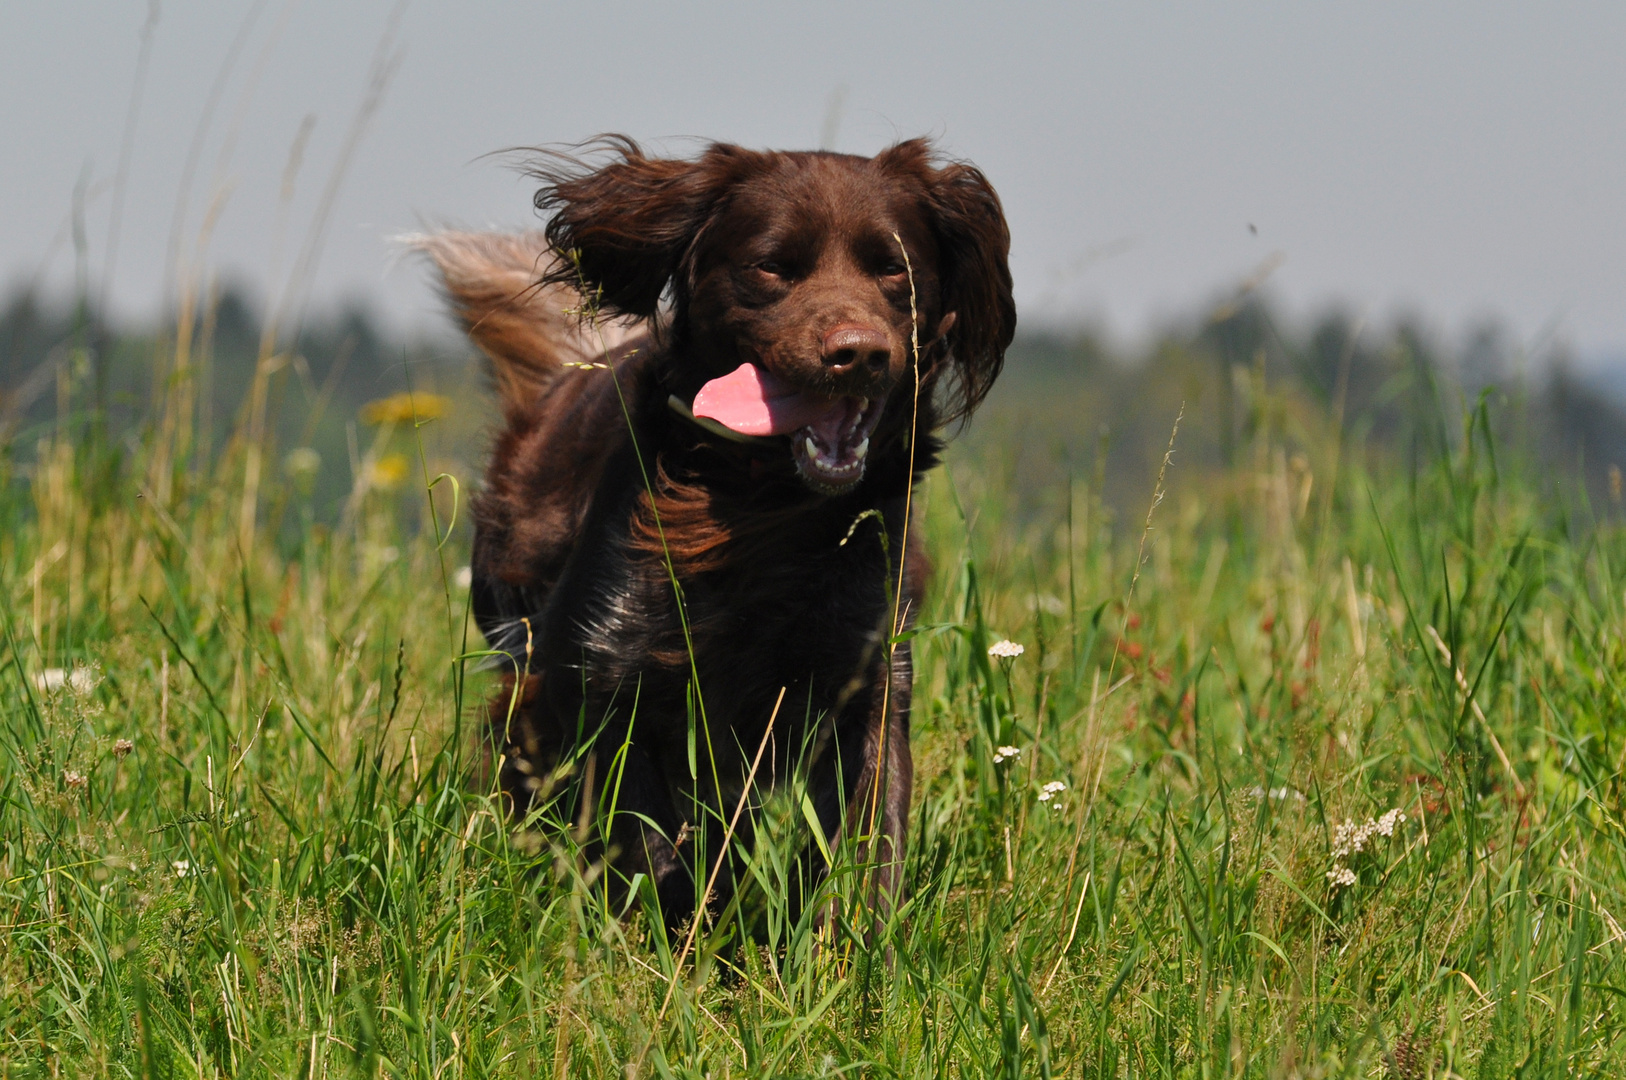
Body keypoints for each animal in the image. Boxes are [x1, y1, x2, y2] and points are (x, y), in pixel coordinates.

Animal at [413, 137, 1008, 936]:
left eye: (894, 269)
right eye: (772, 266)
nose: (859, 352)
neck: (766, 513)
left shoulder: (870, 682)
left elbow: (865, 845)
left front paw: (843, 952)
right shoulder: (601, 681)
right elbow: (651, 843)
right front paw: (688, 929)